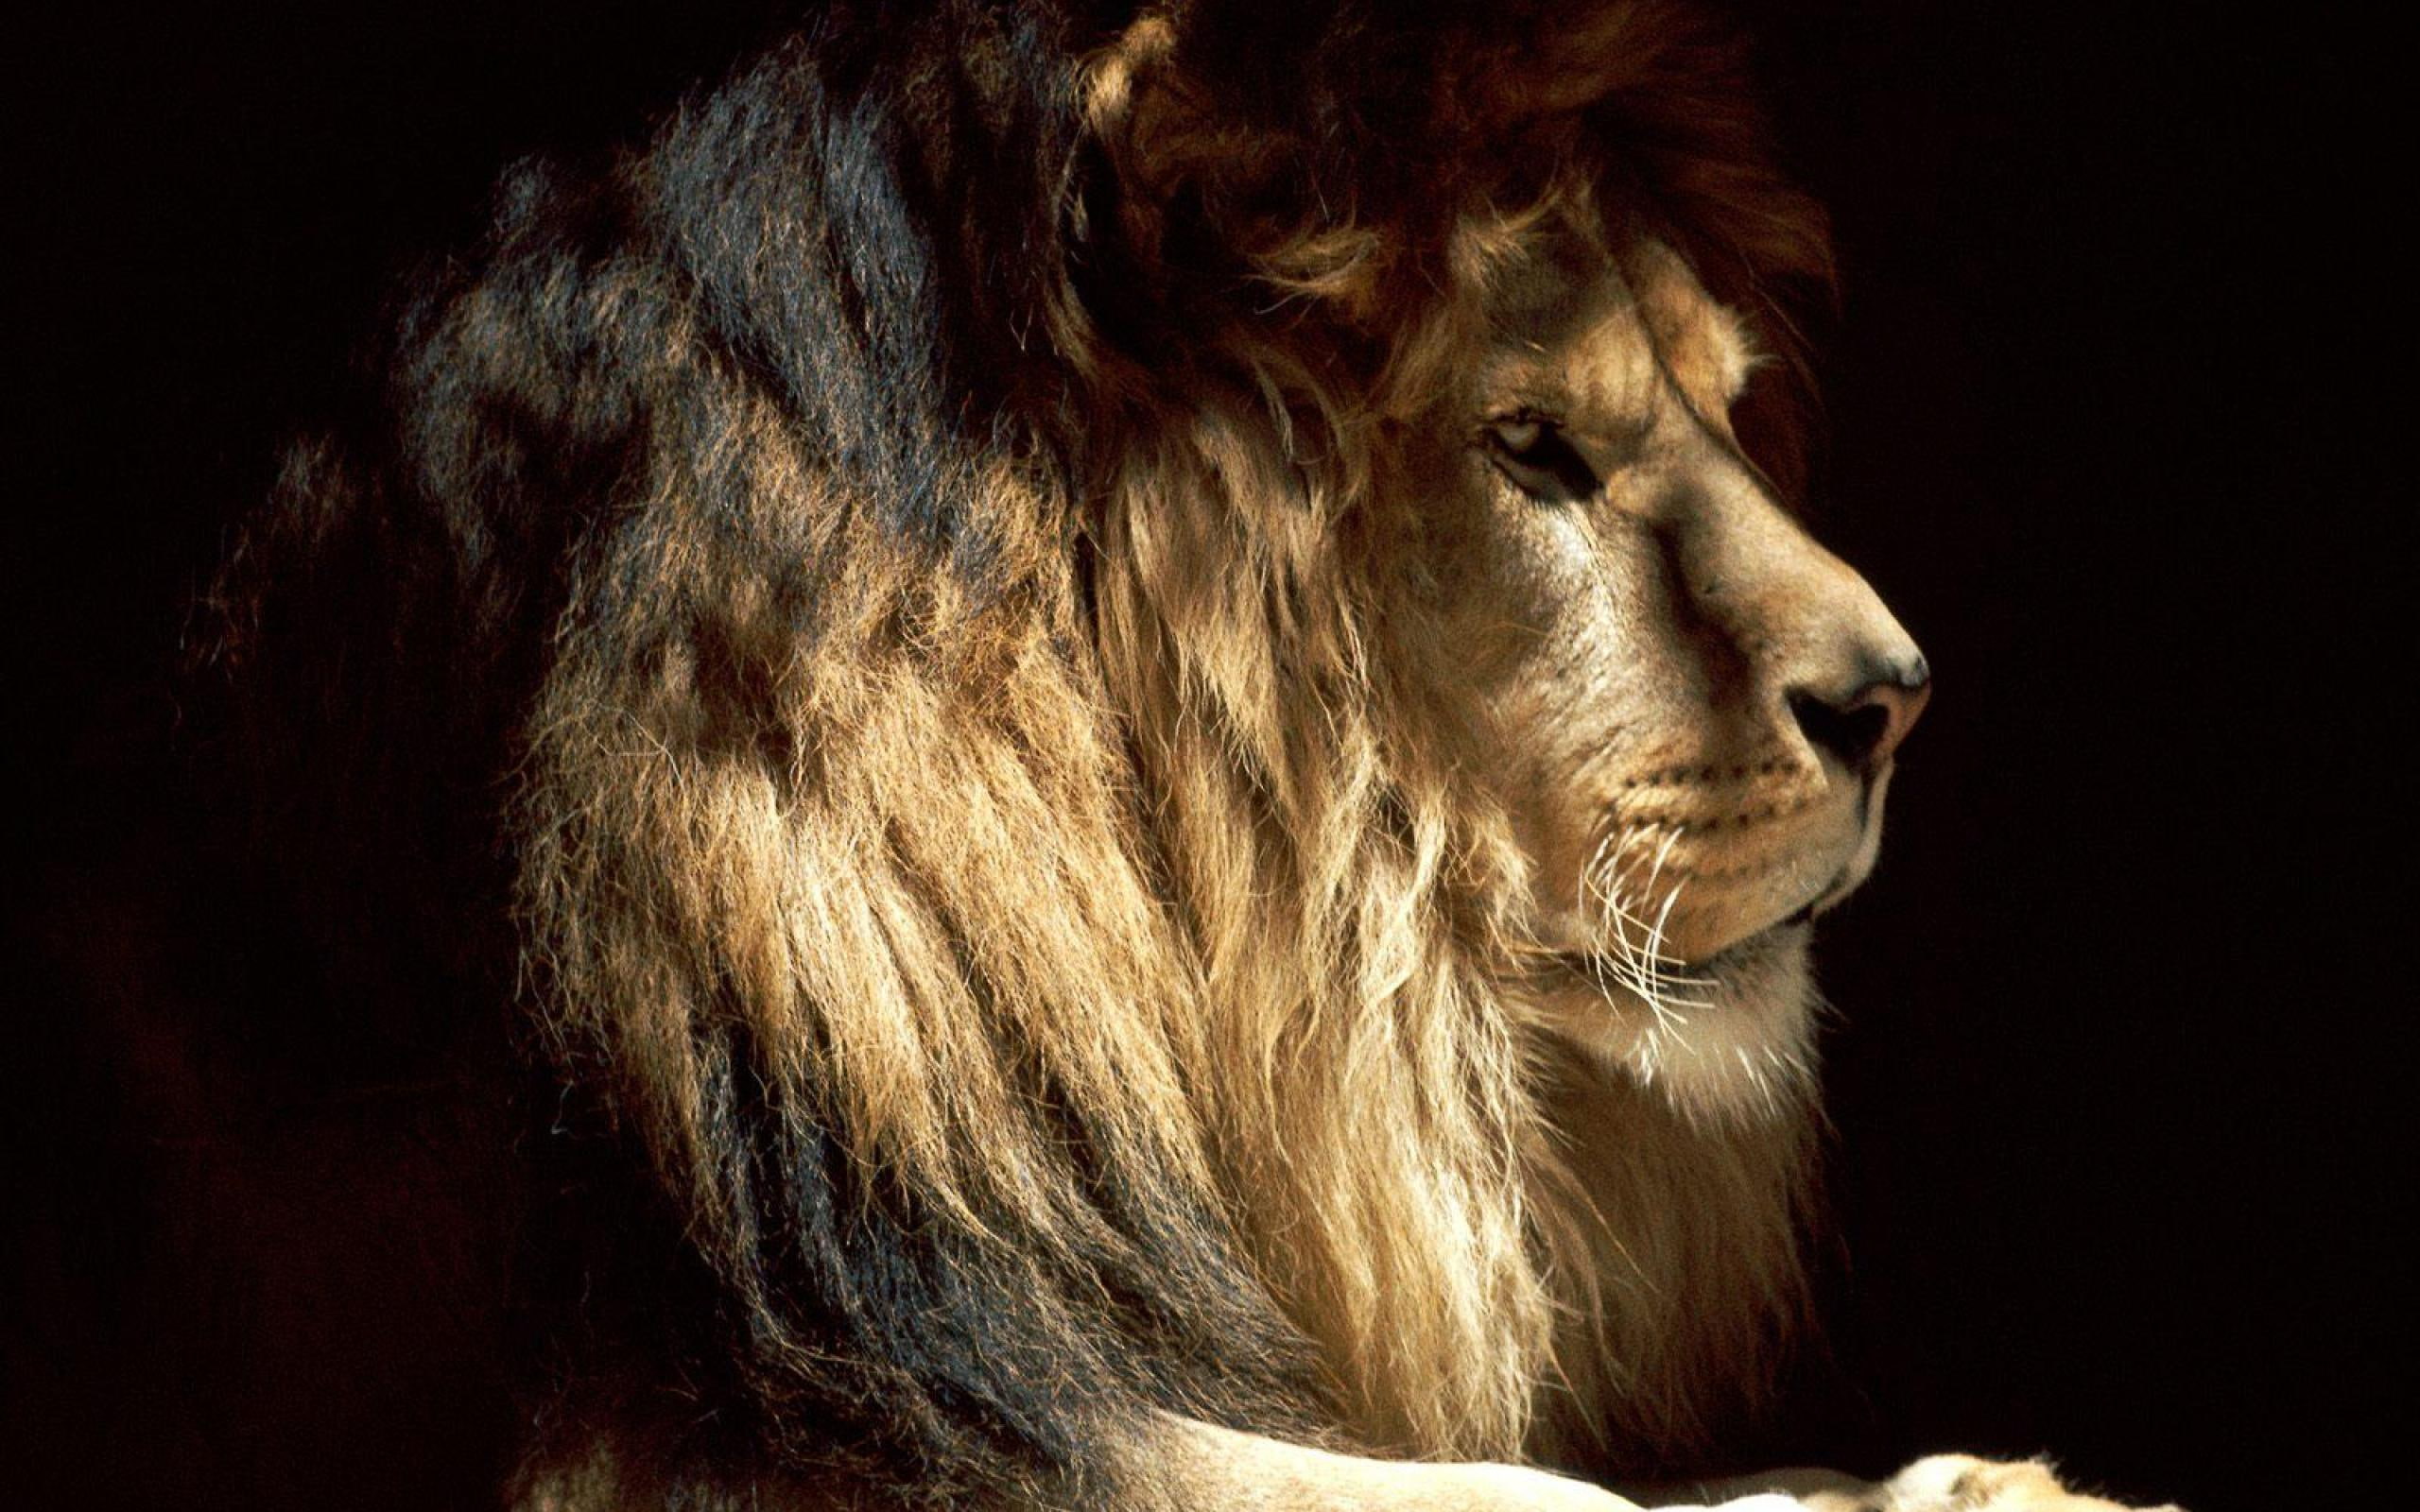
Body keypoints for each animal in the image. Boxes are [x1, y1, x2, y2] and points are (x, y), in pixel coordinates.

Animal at [68, 2, 2180, 1509]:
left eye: (1728, 411)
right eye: (1528, 446)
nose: (1896, 695)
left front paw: (1943, 1476)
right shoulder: (725, 1392)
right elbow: (1490, 1493)